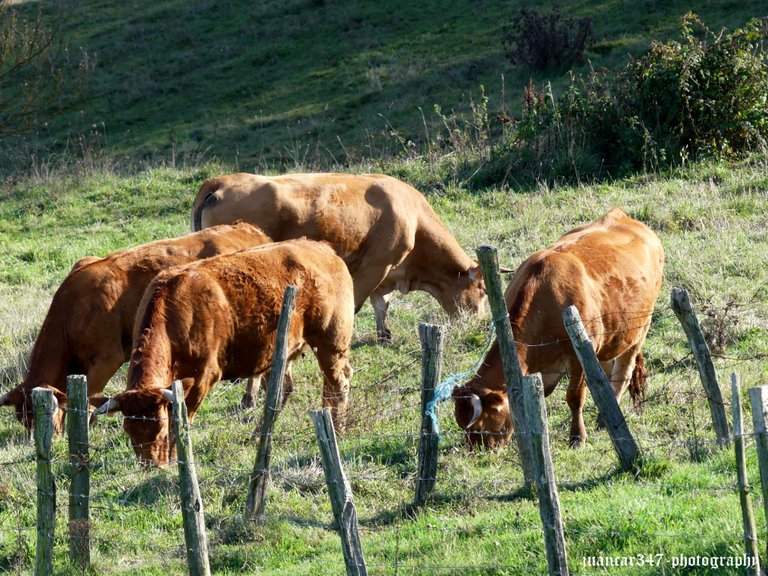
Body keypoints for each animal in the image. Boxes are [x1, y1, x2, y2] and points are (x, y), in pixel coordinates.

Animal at [0, 223, 272, 434]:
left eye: (46, 414)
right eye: (24, 421)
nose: (44, 440)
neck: (73, 309)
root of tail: (246, 228)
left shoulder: (107, 359)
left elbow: (89, 400)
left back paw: (249, 397)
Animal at [93, 238, 354, 468]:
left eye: (160, 427)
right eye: (128, 430)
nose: (150, 466)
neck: (173, 315)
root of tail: (321, 247)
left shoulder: (203, 377)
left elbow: (183, 422)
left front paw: (178, 459)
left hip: (331, 342)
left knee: (337, 383)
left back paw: (338, 429)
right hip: (282, 352)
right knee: (285, 390)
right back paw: (260, 436)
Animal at [192, 171, 492, 342]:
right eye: (483, 290)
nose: (480, 323)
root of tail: (220, 181)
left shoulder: (384, 270)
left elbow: (381, 304)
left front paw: (384, 335)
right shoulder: (375, 266)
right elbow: (357, 305)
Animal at [452, 208, 664, 450]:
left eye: (481, 426)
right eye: (462, 425)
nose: (479, 451)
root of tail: (622, 215)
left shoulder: (577, 356)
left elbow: (574, 397)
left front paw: (577, 437)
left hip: (639, 330)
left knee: (622, 374)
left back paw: (605, 420)